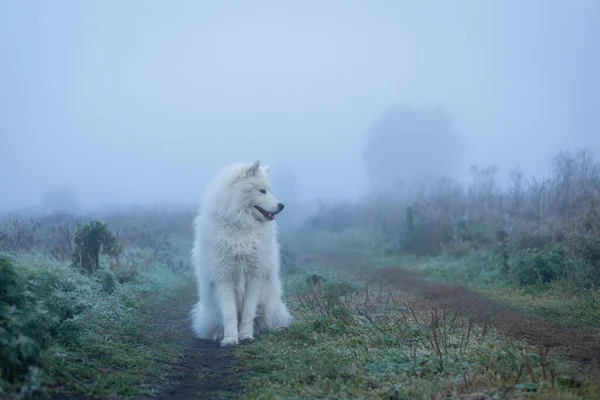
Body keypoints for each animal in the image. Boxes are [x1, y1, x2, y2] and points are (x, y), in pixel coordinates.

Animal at [190, 159, 292, 346]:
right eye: (262, 191)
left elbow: (248, 312)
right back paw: (218, 334)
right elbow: (229, 313)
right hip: (210, 309)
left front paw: (245, 335)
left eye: (269, 190)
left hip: (270, 303)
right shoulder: (224, 278)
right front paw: (230, 338)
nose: (282, 205)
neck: (241, 227)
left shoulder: (254, 277)